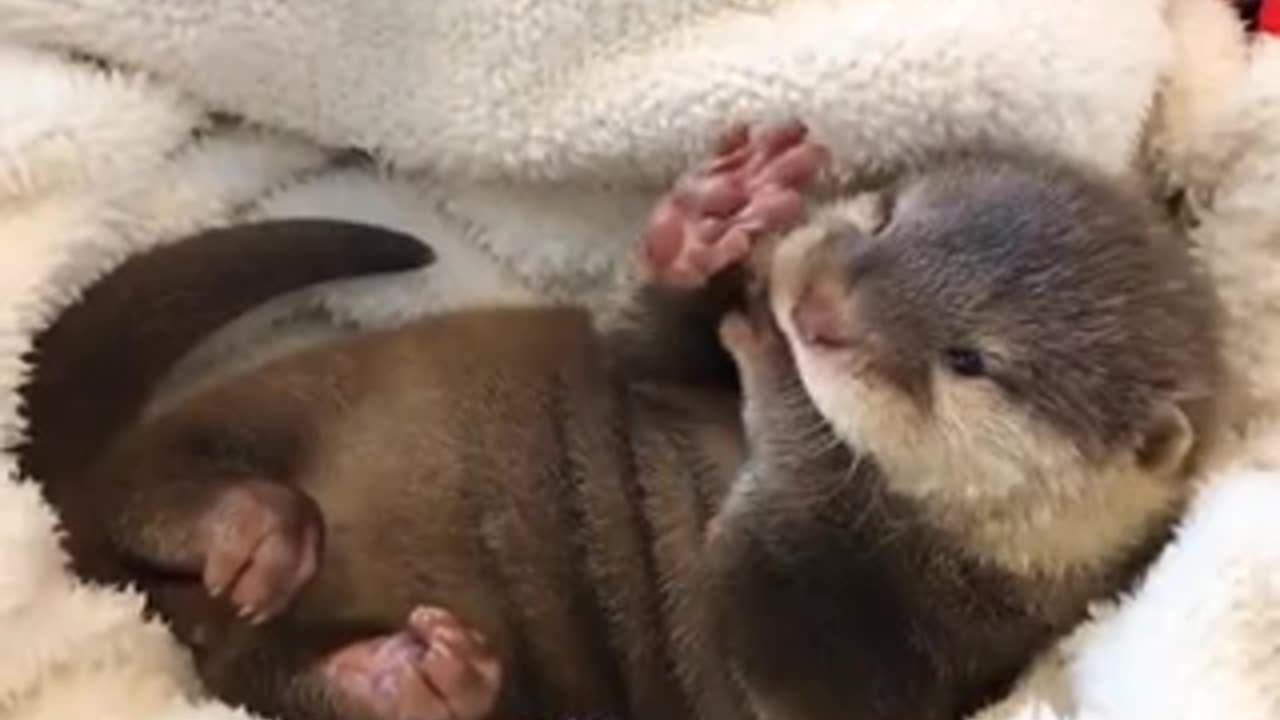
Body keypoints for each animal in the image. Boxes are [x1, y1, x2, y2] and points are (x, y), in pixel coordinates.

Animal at [15, 123, 1223, 720]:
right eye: (886, 215)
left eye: (970, 361)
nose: (818, 308)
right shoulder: (663, 369)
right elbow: (632, 345)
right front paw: (710, 222)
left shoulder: (916, 647)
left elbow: (782, 658)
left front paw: (782, 383)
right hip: (265, 411)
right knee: (156, 496)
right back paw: (253, 530)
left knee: (252, 669)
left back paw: (416, 682)